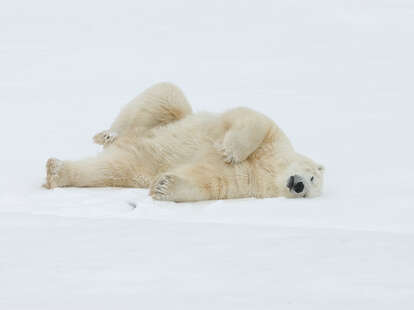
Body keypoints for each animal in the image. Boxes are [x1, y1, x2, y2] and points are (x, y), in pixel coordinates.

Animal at [44, 82, 324, 201]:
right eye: (311, 176)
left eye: (309, 191)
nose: (298, 185)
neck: (267, 169)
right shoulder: (274, 140)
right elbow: (254, 119)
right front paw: (230, 151)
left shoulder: (245, 183)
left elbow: (208, 182)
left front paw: (163, 187)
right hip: (160, 119)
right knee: (166, 96)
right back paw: (108, 134)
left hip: (137, 165)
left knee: (110, 169)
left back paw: (57, 172)